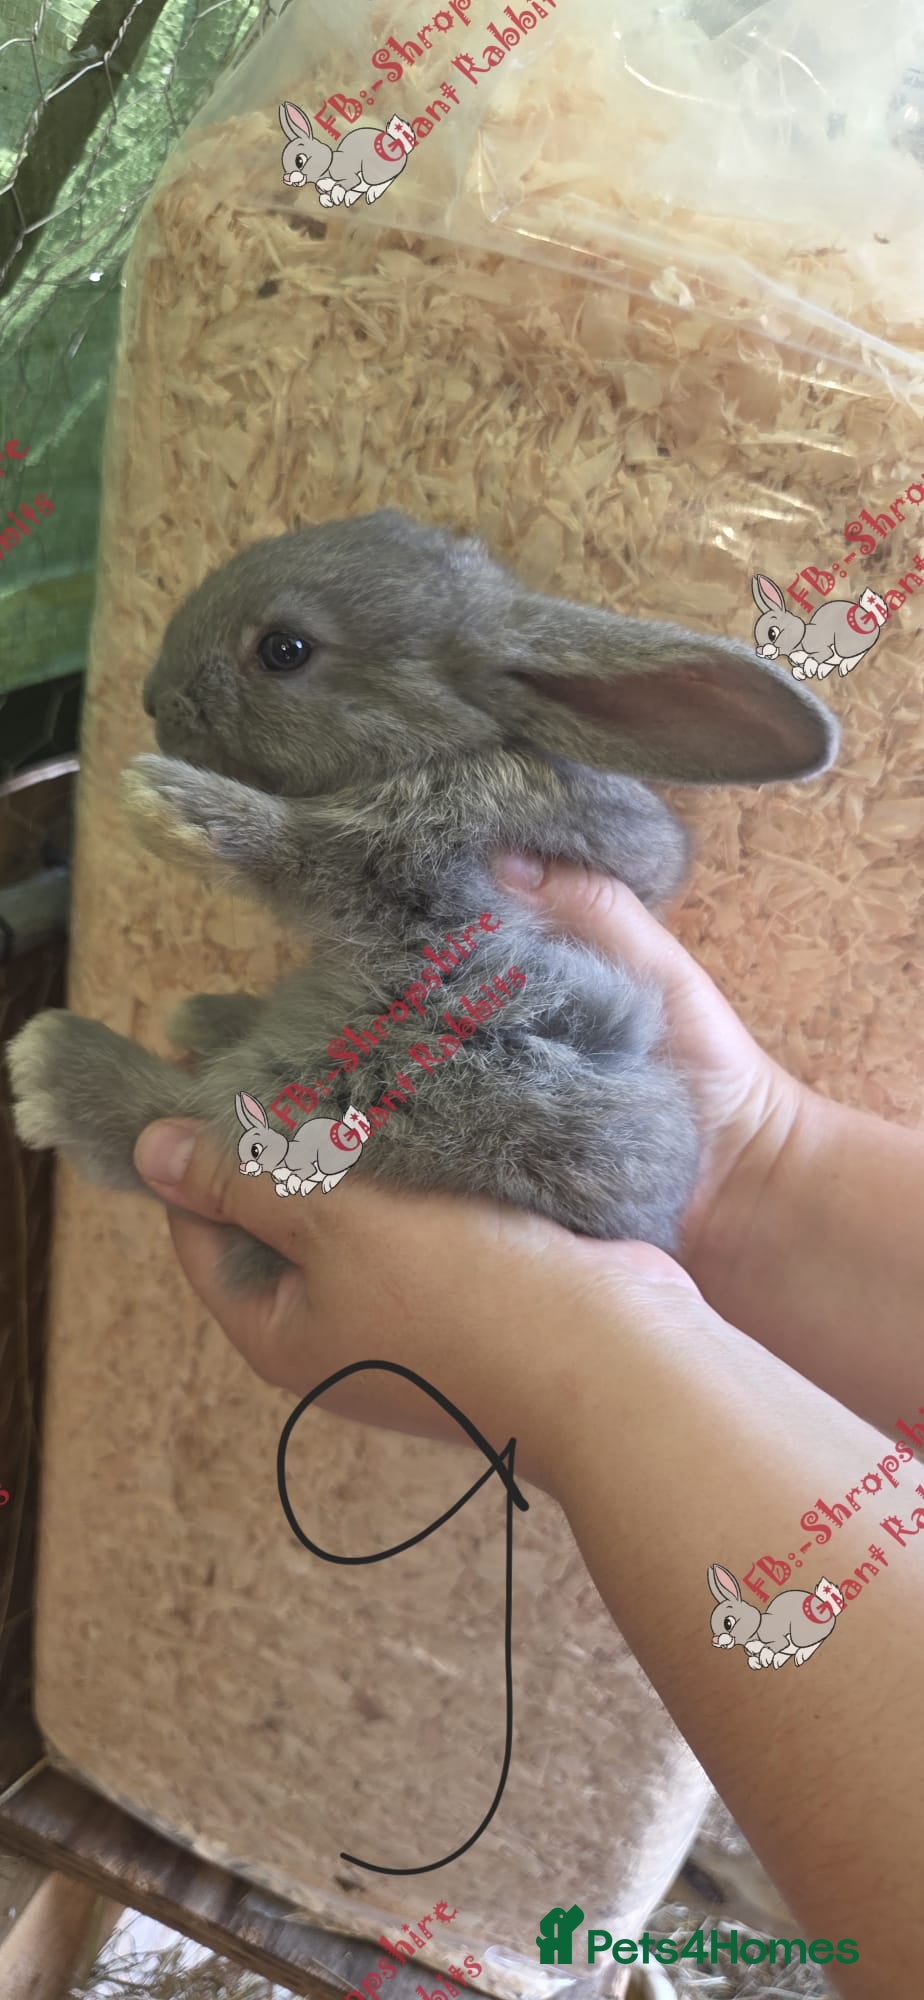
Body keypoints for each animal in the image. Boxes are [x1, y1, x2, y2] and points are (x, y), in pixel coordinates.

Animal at [236, 1090, 370, 1196]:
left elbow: (299, 1173)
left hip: (327, 1162)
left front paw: (292, 1184)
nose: (242, 1167)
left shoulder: (305, 1166)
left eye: (255, 1150)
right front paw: (283, 1189)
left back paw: (328, 1183)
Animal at [708, 1564, 843, 1670]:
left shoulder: (776, 1638)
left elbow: (772, 1646)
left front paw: (765, 1658)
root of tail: (827, 1607)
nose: (715, 1640)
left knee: (817, 1641)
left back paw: (801, 1655)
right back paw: (779, 1660)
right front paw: (756, 1663)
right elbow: (751, 1659)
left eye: (728, 1623)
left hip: (800, 1636)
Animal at [752, 574, 886, 680]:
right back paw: (822, 671)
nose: (759, 651)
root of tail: (870, 615)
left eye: (772, 633)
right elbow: (796, 666)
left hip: (844, 645)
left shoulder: (821, 648)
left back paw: (845, 666)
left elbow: (816, 656)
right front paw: (801, 672)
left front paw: (809, 668)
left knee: (860, 652)